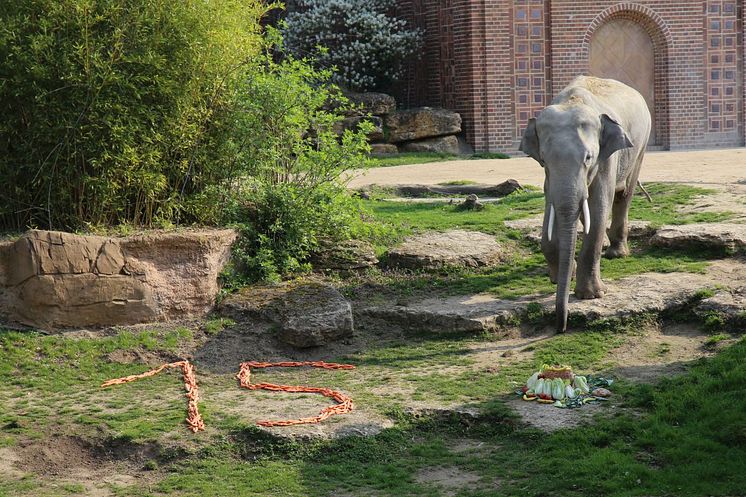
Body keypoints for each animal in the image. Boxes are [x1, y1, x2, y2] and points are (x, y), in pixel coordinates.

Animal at [520, 75, 648, 332]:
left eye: (588, 157)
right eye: (544, 160)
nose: (561, 327)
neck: (572, 101)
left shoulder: (607, 158)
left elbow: (599, 206)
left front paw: (591, 295)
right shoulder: (549, 178)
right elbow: (552, 206)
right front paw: (560, 277)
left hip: (640, 147)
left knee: (624, 195)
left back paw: (617, 254)